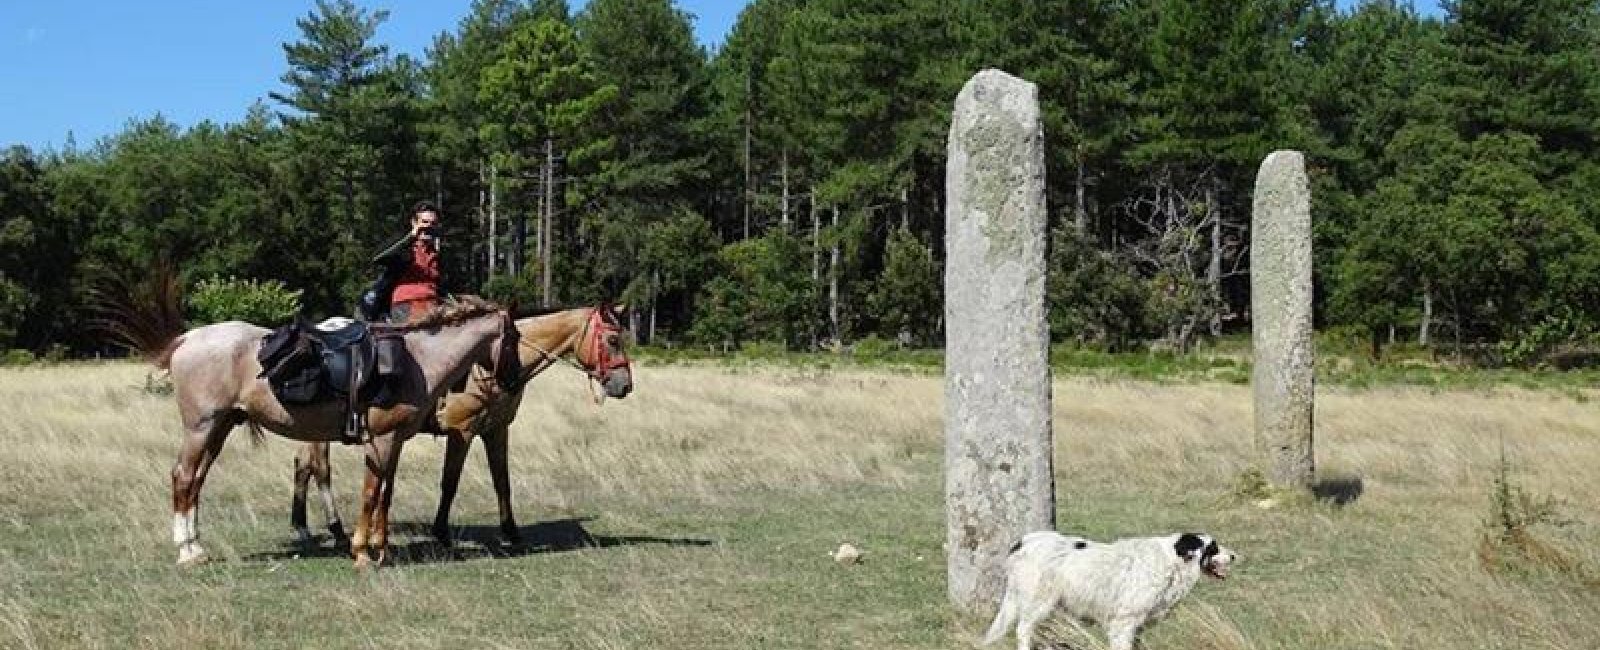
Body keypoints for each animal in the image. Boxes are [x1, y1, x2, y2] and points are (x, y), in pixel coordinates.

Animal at [154, 296, 518, 569]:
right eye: (514, 338)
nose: (512, 382)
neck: (417, 361)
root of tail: (187, 339)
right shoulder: (381, 440)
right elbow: (370, 493)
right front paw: (362, 553)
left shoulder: (396, 440)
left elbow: (386, 494)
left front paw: (382, 550)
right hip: (201, 428)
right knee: (183, 477)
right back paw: (186, 550)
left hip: (221, 427)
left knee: (197, 479)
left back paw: (196, 547)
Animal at [289, 303, 634, 549]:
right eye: (612, 339)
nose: (625, 385)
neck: (494, 362)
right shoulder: (462, 431)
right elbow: (450, 482)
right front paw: (441, 531)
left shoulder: (497, 430)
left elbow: (502, 481)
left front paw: (511, 531)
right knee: (320, 469)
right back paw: (335, 530)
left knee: (303, 465)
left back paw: (302, 527)